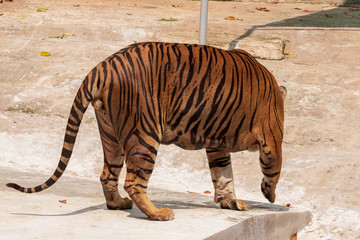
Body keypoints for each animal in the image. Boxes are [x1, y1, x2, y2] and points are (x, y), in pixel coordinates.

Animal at [6, 41, 286, 221]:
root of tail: (102, 66)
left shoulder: (216, 145)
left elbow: (223, 175)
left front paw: (231, 203)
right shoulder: (272, 137)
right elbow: (273, 168)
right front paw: (270, 196)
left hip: (111, 135)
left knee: (108, 174)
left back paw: (118, 204)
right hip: (144, 135)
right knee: (133, 181)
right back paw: (158, 214)